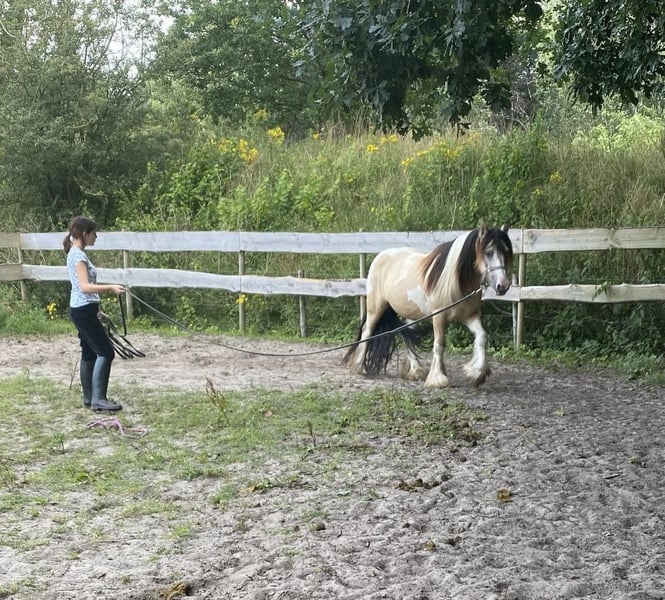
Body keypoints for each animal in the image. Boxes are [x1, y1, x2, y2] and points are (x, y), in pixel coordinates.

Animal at [342, 224, 513, 388]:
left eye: (506, 252)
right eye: (488, 252)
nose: (503, 286)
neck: (456, 282)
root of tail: (381, 255)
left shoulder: (470, 316)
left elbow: (482, 336)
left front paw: (477, 374)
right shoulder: (439, 316)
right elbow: (439, 345)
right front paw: (438, 379)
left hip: (410, 313)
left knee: (407, 336)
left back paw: (415, 371)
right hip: (376, 308)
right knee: (367, 332)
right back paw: (359, 367)